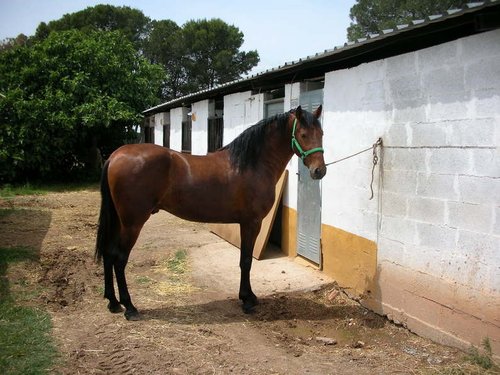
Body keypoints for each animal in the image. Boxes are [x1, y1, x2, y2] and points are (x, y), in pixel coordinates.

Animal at [95, 105, 326, 320]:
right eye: (303, 135)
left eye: (321, 133)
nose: (319, 171)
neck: (252, 164)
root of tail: (115, 156)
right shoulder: (251, 223)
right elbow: (246, 261)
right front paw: (247, 300)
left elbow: (245, 260)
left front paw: (248, 296)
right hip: (132, 223)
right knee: (119, 259)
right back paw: (130, 307)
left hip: (119, 221)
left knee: (108, 253)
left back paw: (113, 303)